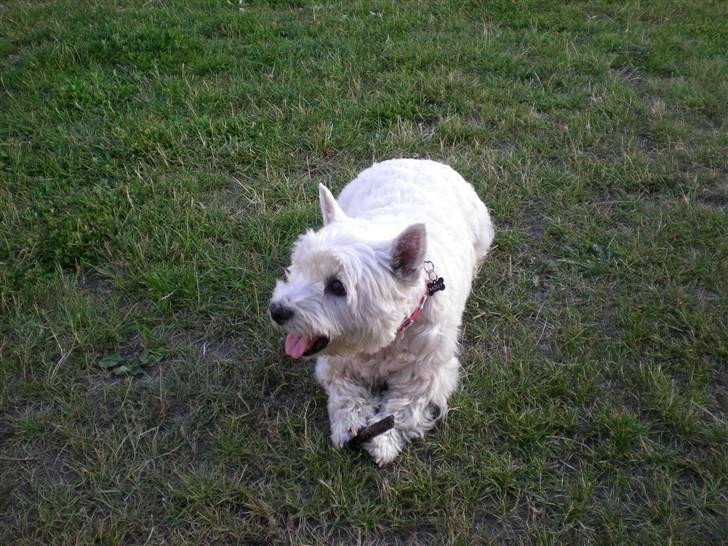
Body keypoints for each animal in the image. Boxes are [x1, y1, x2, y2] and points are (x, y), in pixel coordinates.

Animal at [272, 157, 494, 464]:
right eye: (297, 267)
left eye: (337, 286)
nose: (277, 310)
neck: (385, 340)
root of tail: (418, 160)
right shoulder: (339, 364)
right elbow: (345, 395)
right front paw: (348, 426)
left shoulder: (426, 374)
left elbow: (403, 408)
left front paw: (383, 442)